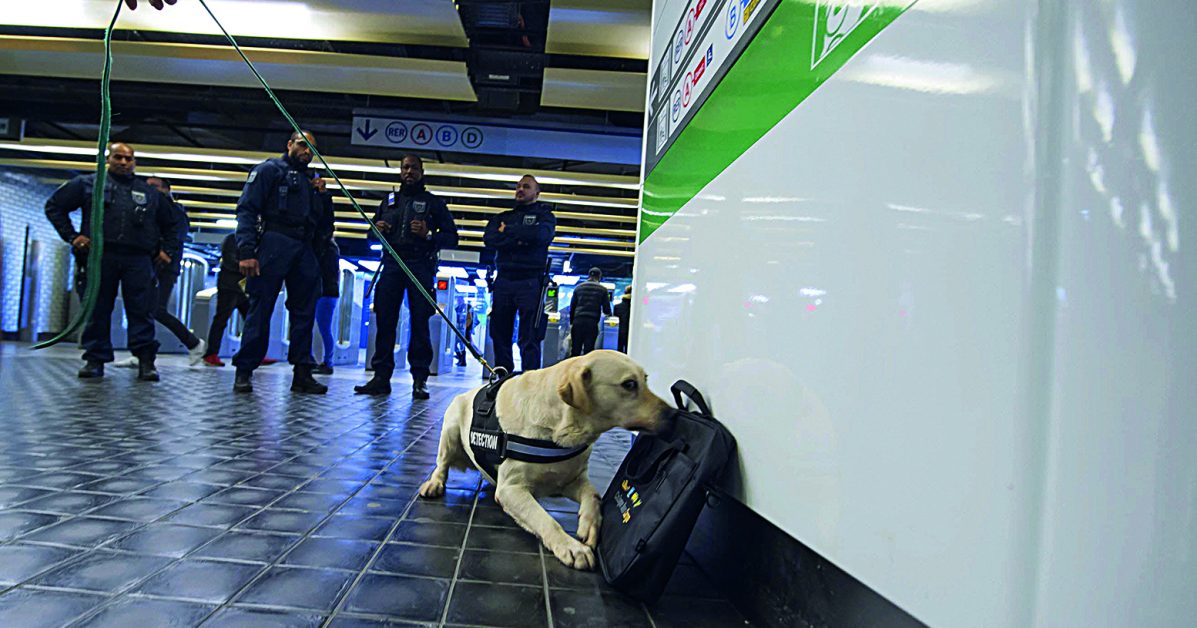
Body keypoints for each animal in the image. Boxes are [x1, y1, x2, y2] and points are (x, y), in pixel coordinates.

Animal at [418, 349, 675, 569]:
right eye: (629, 384)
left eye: (646, 379)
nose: (673, 414)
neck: (559, 428)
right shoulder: (511, 490)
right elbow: (546, 520)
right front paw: (572, 547)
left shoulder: (570, 480)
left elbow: (593, 495)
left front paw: (589, 526)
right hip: (450, 431)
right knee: (441, 464)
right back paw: (434, 483)